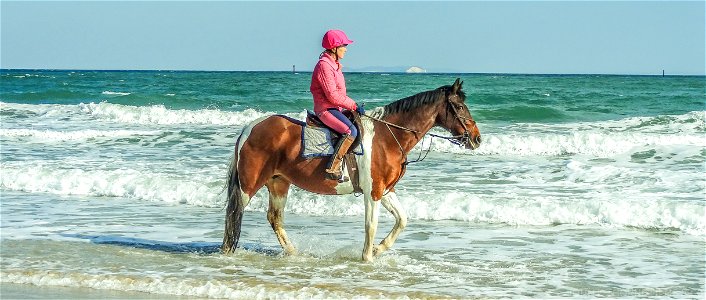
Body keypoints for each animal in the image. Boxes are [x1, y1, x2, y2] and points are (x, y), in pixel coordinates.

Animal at [223, 78, 482, 262]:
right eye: (459, 106)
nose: (477, 139)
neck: (388, 137)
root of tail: (249, 128)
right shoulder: (373, 192)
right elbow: (371, 225)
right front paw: (367, 258)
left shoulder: (385, 190)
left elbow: (402, 219)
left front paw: (378, 250)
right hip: (249, 185)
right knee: (235, 215)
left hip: (278, 183)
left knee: (275, 218)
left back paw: (294, 253)